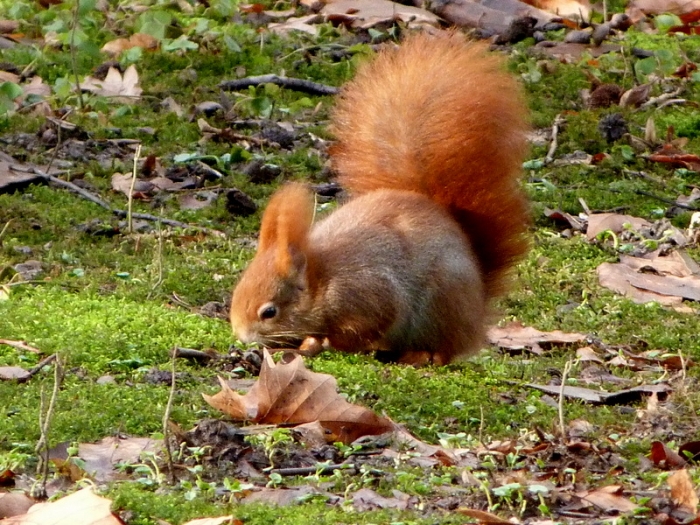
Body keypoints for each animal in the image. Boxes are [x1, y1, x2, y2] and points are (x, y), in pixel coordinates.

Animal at [229, 31, 530, 366]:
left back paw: (419, 355)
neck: (322, 279)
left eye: (269, 312)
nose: (242, 335)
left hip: (441, 304)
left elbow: (367, 325)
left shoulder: (365, 293)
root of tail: (476, 313)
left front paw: (319, 342)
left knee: (443, 349)